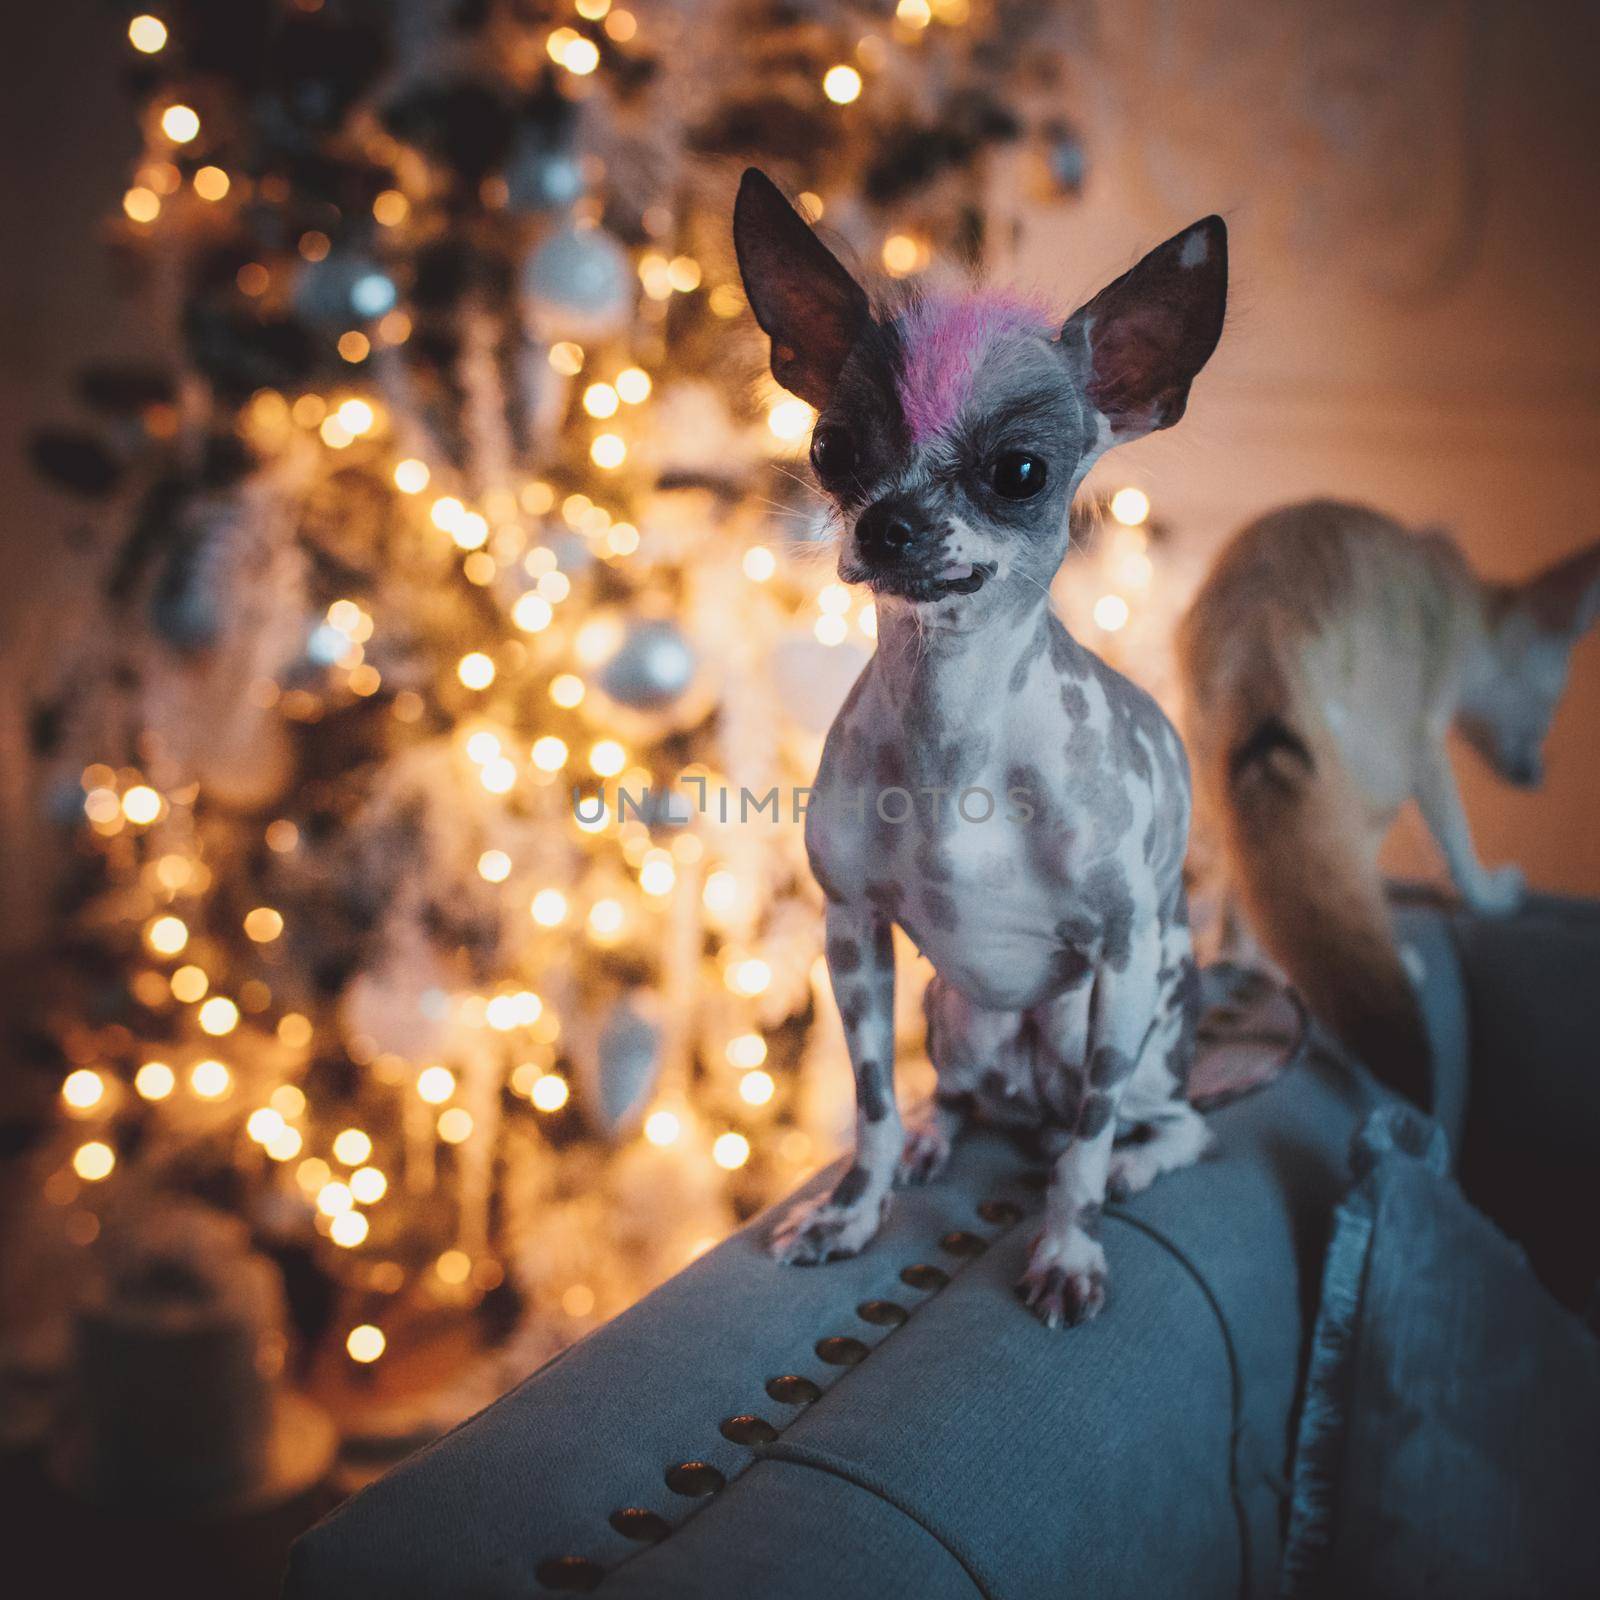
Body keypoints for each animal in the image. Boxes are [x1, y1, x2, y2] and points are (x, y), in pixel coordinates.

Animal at [1177, 499, 1600, 1100]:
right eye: (1553, 708)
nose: (1538, 775)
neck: (1465, 599)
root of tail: (1267, 618)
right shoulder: (1426, 743)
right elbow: (1456, 842)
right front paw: (1490, 896)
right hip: (1375, 779)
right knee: (1344, 872)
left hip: (1221, 781)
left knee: (1246, 894)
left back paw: (1243, 964)